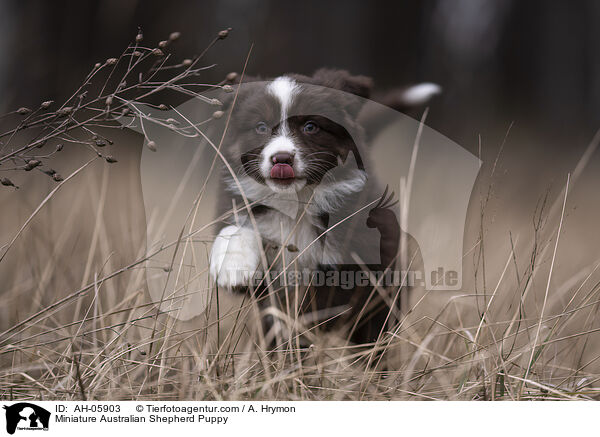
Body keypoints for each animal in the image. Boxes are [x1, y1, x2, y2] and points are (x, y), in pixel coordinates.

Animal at [209, 69, 438, 344]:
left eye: (311, 127)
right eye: (261, 127)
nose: (281, 159)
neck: (295, 202)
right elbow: (235, 229)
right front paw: (233, 266)